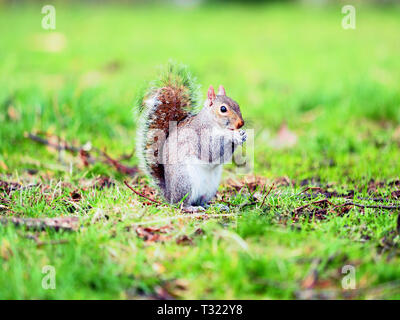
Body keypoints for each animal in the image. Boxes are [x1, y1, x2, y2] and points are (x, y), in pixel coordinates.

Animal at [136, 63, 245, 211]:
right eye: (223, 109)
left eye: (237, 104)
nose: (241, 123)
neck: (212, 122)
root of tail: (169, 195)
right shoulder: (199, 135)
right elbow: (210, 152)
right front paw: (232, 135)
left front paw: (242, 135)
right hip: (184, 180)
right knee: (181, 203)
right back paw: (191, 208)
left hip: (210, 186)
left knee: (201, 200)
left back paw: (215, 206)